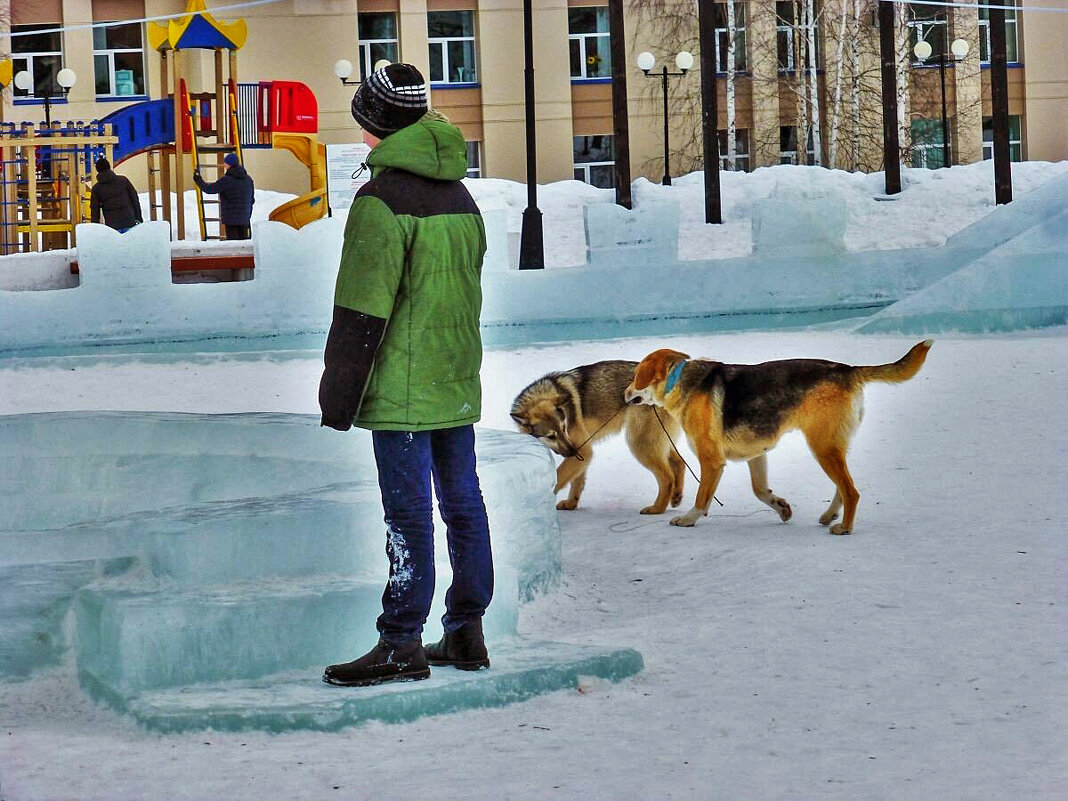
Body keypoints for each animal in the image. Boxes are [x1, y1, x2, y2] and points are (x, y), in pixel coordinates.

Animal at [512, 358, 687, 510]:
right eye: (551, 436)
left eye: (564, 427)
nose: (573, 451)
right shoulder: (582, 455)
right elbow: (576, 482)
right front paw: (570, 504)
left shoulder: (583, 450)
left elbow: (559, 477)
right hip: (656, 441)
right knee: (680, 463)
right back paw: (676, 497)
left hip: (640, 443)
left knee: (667, 478)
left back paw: (657, 508)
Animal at [623, 341, 931, 536]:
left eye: (636, 376)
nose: (624, 395)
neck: (679, 381)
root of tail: (848, 369)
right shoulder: (756, 454)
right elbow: (760, 491)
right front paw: (781, 507)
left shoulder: (712, 461)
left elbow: (702, 498)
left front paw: (688, 519)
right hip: (830, 447)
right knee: (843, 488)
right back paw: (830, 516)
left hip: (822, 447)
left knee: (851, 491)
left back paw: (844, 528)